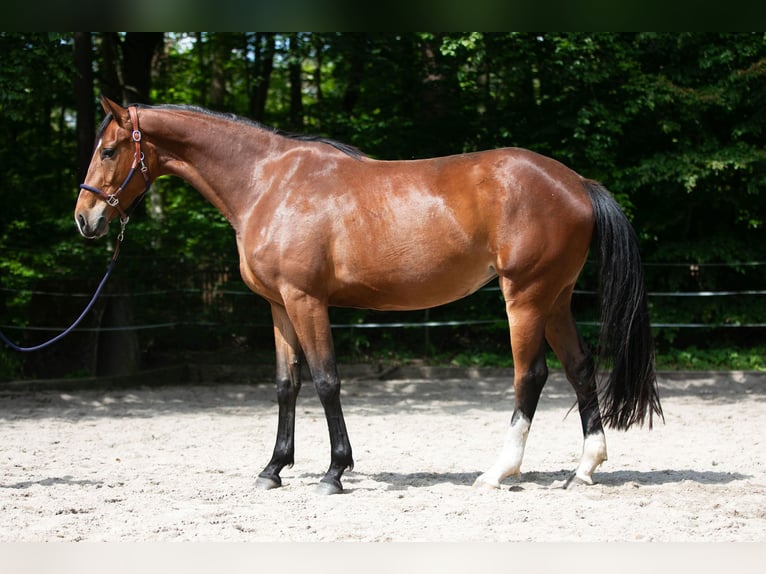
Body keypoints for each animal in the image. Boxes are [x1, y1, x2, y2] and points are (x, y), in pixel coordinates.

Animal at [78, 97, 664, 498]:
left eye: (108, 150)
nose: (86, 219)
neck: (268, 183)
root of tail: (576, 182)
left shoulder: (306, 300)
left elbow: (325, 380)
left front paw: (335, 471)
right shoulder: (278, 306)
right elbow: (286, 385)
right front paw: (273, 469)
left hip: (525, 297)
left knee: (532, 375)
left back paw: (499, 472)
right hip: (555, 298)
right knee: (580, 368)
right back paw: (584, 468)